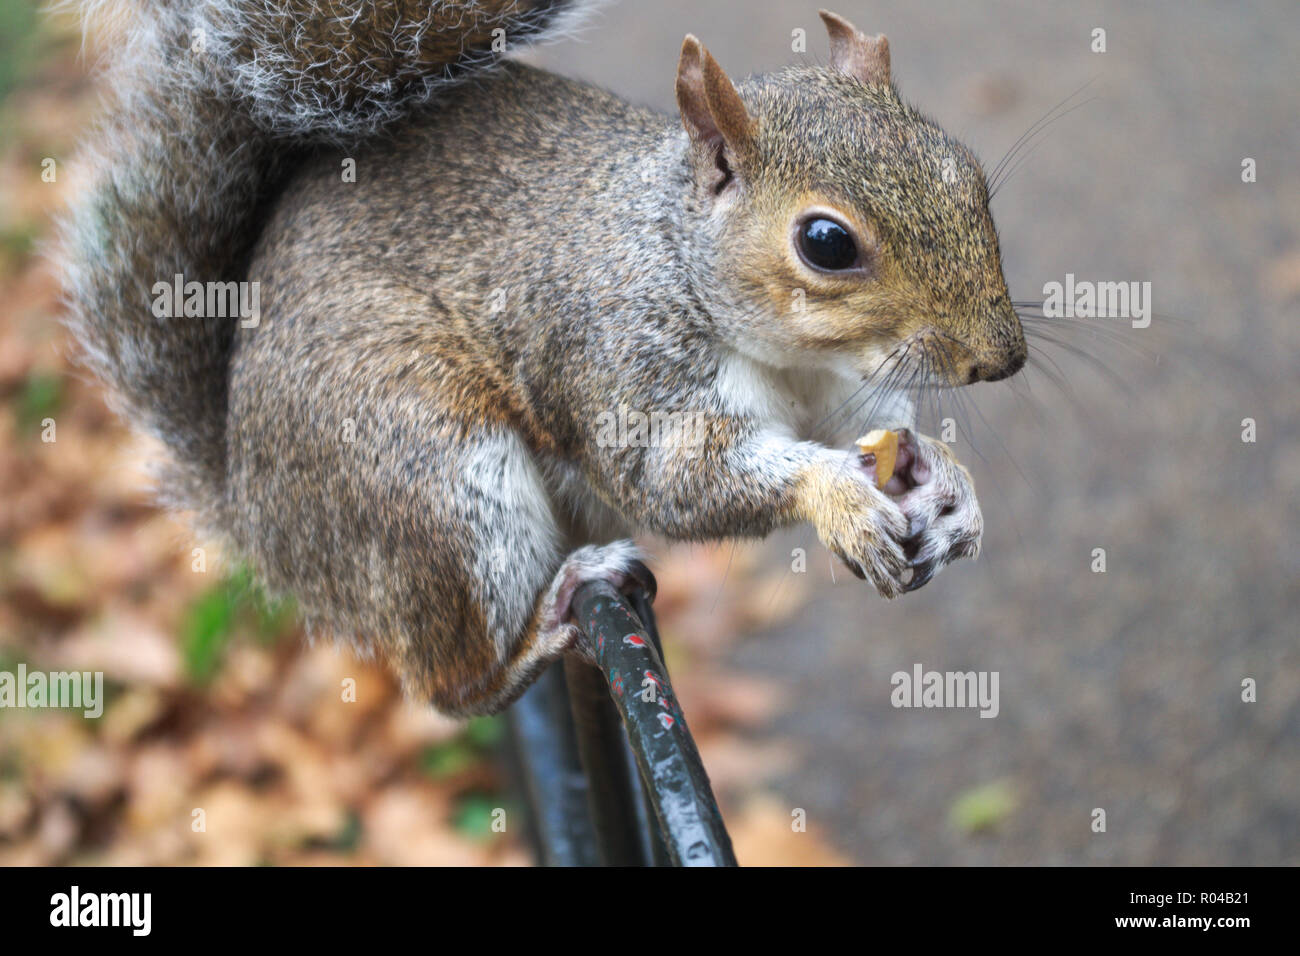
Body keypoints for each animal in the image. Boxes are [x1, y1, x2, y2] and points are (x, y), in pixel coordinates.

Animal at [61, 1, 1029, 717]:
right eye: (826, 243)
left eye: (967, 173)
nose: (1003, 362)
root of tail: (258, 520)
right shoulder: (623, 367)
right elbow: (679, 483)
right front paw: (840, 498)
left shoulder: (838, 393)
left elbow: (876, 431)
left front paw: (949, 488)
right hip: (430, 478)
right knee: (452, 689)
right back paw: (550, 621)